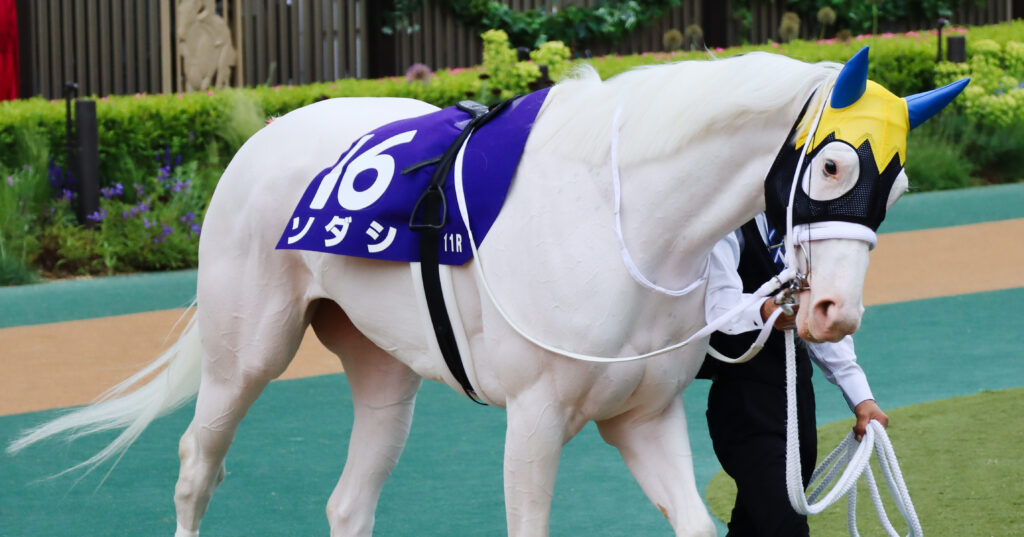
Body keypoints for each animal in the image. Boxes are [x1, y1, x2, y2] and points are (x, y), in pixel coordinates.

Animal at [10, 48, 966, 536]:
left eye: (899, 184)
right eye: (833, 164)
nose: (833, 312)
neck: (621, 218)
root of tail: (268, 132)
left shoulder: (644, 417)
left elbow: (700, 518)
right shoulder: (535, 418)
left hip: (382, 370)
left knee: (349, 499)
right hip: (245, 350)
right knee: (195, 467)